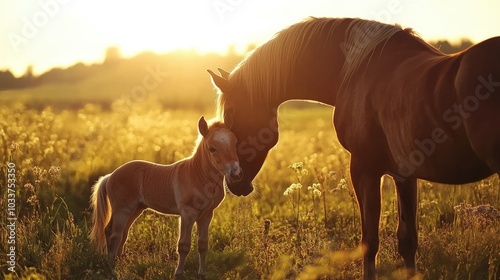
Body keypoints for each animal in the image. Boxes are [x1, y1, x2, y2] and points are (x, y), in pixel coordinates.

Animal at [91, 116, 244, 278]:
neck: (198, 175)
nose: (236, 173)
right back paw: (112, 269)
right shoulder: (187, 214)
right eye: (212, 148)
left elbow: (203, 245)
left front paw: (202, 274)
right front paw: (179, 274)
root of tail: (110, 176)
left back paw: (117, 263)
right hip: (122, 210)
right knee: (115, 235)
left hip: (135, 209)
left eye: (235, 143)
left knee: (118, 233)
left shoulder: (206, 215)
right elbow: (183, 245)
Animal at [207, 17, 500, 278]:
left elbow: (369, 242)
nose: (235, 183)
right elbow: (407, 241)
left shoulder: (364, 169)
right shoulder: (404, 174)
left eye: (231, 113)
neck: (357, 70)